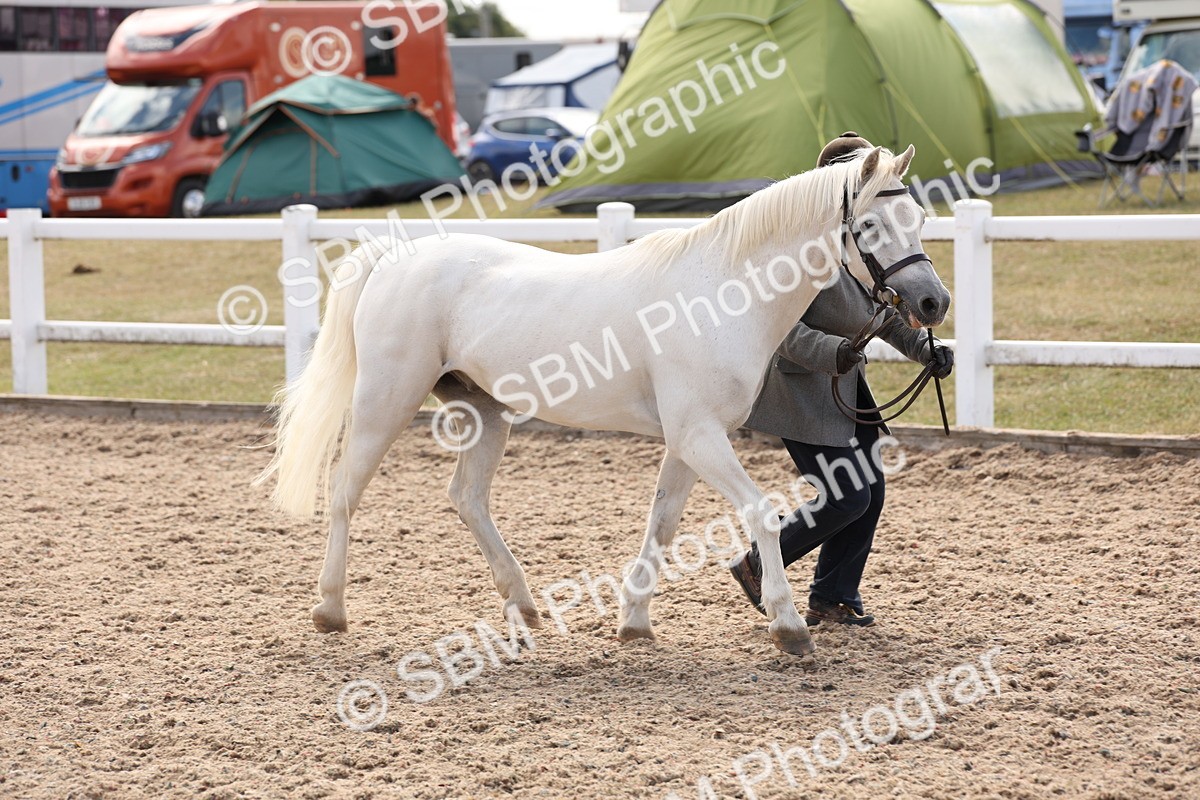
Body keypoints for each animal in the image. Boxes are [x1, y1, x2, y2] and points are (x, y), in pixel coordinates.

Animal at [257, 145, 950, 656]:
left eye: (918, 219)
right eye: (869, 225)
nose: (933, 303)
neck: (722, 292)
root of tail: (396, 256)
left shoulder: (689, 439)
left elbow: (662, 522)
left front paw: (635, 621)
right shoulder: (699, 435)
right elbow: (760, 513)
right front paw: (788, 626)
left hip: (484, 411)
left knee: (467, 497)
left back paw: (524, 605)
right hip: (386, 399)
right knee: (345, 492)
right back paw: (330, 609)